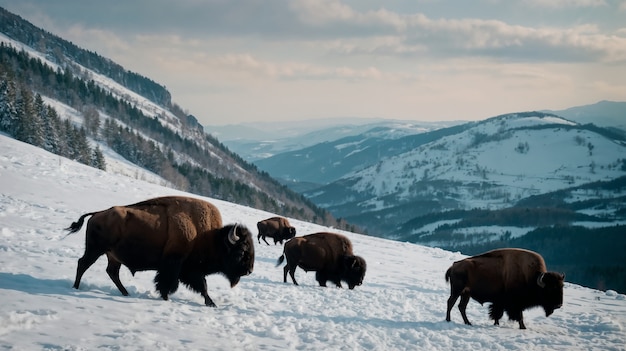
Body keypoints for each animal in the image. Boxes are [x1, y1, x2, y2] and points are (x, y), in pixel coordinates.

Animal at [65, 197, 254, 306]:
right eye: (241, 251)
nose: (249, 270)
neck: (210, 237)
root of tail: (97, 214)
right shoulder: (176, 265)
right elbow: (179, 283)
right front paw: (167, 298)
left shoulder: (188, 270)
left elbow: (201, 286)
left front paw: (210, 303)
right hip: (95, 250)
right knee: (83, 264)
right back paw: (76, 287)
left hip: (112, 256)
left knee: (112, 272)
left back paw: (126, 293)